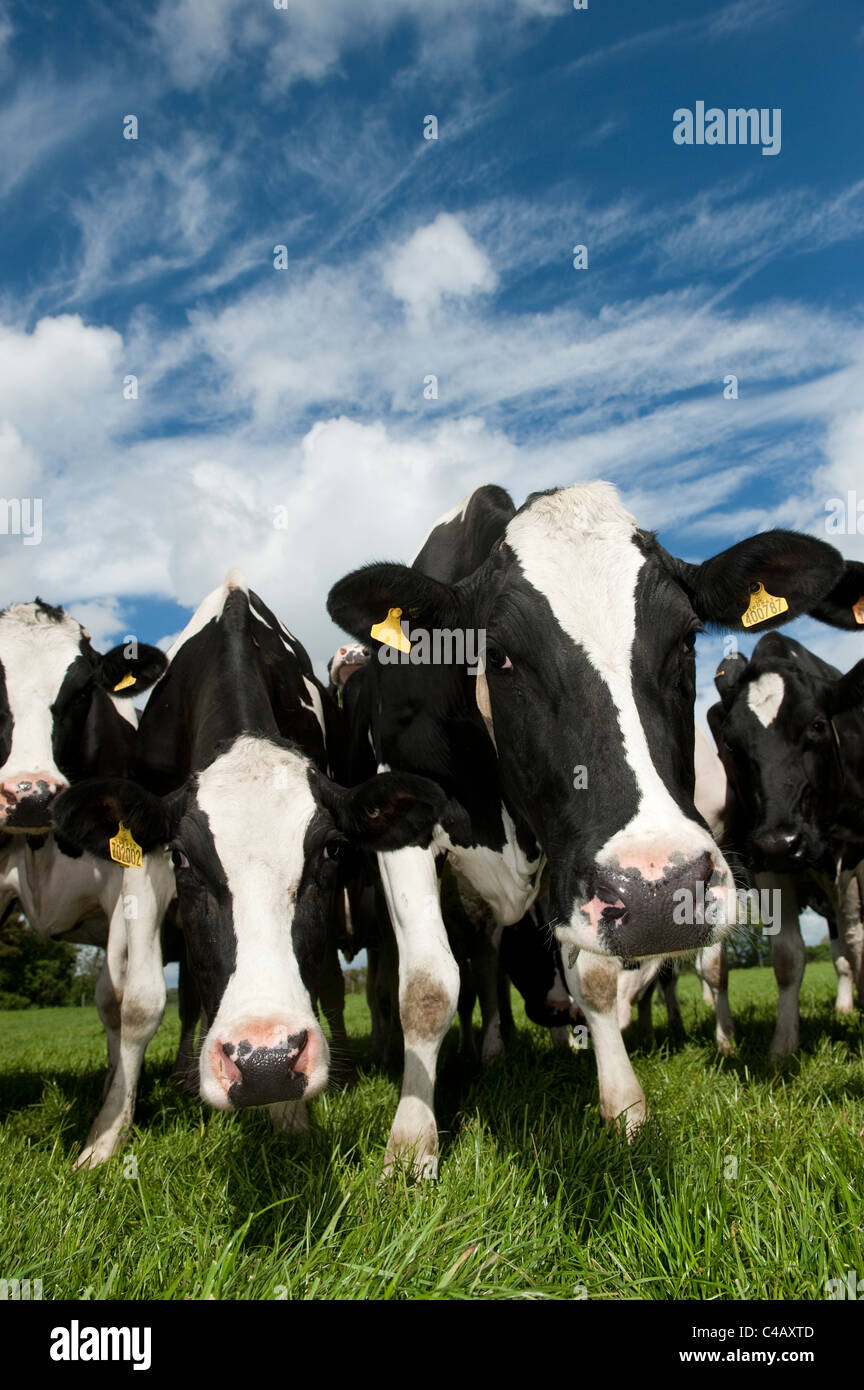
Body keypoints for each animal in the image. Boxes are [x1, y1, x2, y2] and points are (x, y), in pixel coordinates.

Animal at [54, 573, 450, 1136]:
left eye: (331, 848)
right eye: (181, 858)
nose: (264, 1063)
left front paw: (290, 1119)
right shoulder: (144, 853)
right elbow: (138, 1004)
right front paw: (105, 1135)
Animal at [707, 626, 864, 1056]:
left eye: (817, 725)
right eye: (731, 743)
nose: (782, 840)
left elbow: (858, 941)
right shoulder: (768, 864)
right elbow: (787, 957)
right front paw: (782, 1046)